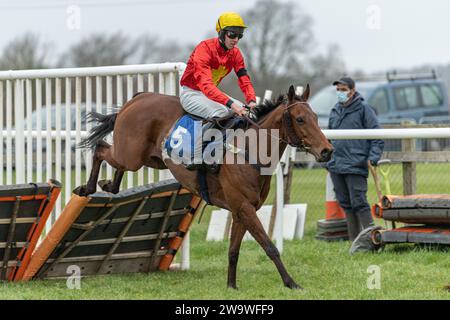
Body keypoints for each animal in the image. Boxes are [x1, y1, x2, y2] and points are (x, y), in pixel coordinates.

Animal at [80, 84, 334, 288]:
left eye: (315, 117)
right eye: (300, 119)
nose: (327, 150)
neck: (249, 150)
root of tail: (140, 97)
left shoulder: (242, 210)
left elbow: (233, 251)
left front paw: (231, 286)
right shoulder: (244, 207)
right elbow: (269, 246)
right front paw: (291, 283)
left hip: (148, 158)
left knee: (112, 159)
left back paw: (109, 185)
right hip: (130, 155)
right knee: (101, 148)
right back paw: (87, 188)